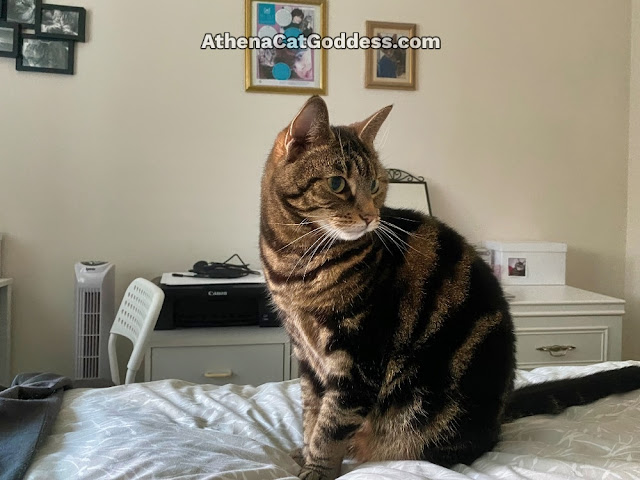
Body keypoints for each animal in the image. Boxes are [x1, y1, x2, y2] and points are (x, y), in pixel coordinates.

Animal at [258, 95, 640, 478]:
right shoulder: (306, 355)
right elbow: (312, 414)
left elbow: (331, 425)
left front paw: (317, 468)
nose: (371, 217)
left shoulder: (359, 357)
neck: (295, 263)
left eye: (376, 185)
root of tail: (502, 410)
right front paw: (304, 452)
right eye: (337, 184)